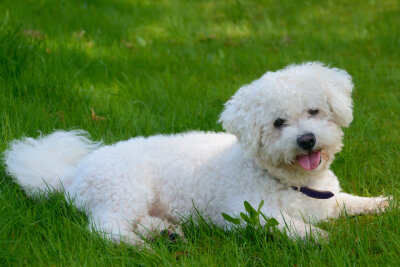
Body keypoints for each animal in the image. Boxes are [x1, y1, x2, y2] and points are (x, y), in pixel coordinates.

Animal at [4, 62, 390, 245]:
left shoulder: (328, 200)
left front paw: (380, 203)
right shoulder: (243, 212)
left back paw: (165, 232)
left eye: (314, 111)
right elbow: (283, 223)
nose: (307, 140)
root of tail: (74, 173)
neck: (290, 182)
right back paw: (141, 246)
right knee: (106, 228)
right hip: (125, 188)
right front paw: (315, 236)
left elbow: (349, 202)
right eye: (278, 123)